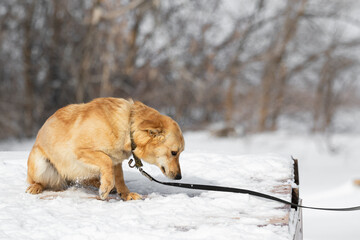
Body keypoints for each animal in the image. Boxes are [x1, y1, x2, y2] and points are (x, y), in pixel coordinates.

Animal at [24, 97, 186, 201]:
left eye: (179, 153)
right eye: (174, 152)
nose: (179, 177)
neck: (128, 127)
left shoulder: (116, 161)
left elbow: (119, 179)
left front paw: (126, 195)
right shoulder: (82, 151)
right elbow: (106, 161)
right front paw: (105, 189)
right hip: (40, 164)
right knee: (37, 181)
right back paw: (35, 187)